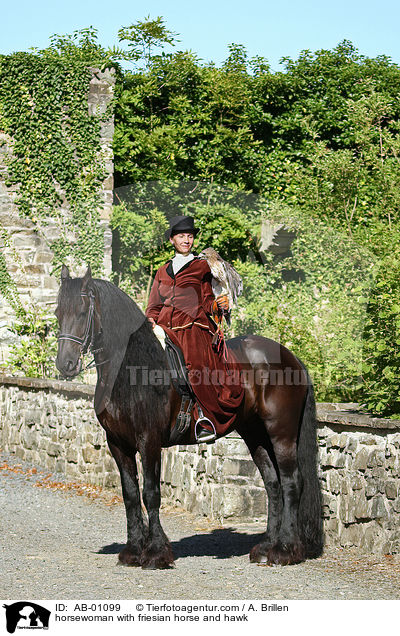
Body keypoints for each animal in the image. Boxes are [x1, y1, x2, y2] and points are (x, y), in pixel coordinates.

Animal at [55, 266, 322, 568]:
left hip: (281, 433)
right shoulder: (118, 443)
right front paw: (133, 550)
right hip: (256, 434)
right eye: (58, 312)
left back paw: (284, 550)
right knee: (273, 484)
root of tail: (291, 358)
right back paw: (266, 547)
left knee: (291, 482)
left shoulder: (149, 441)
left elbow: (151, 493)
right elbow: (130, 495)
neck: (129, 368)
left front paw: (156, 552)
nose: (65, 364)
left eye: (81, 311)